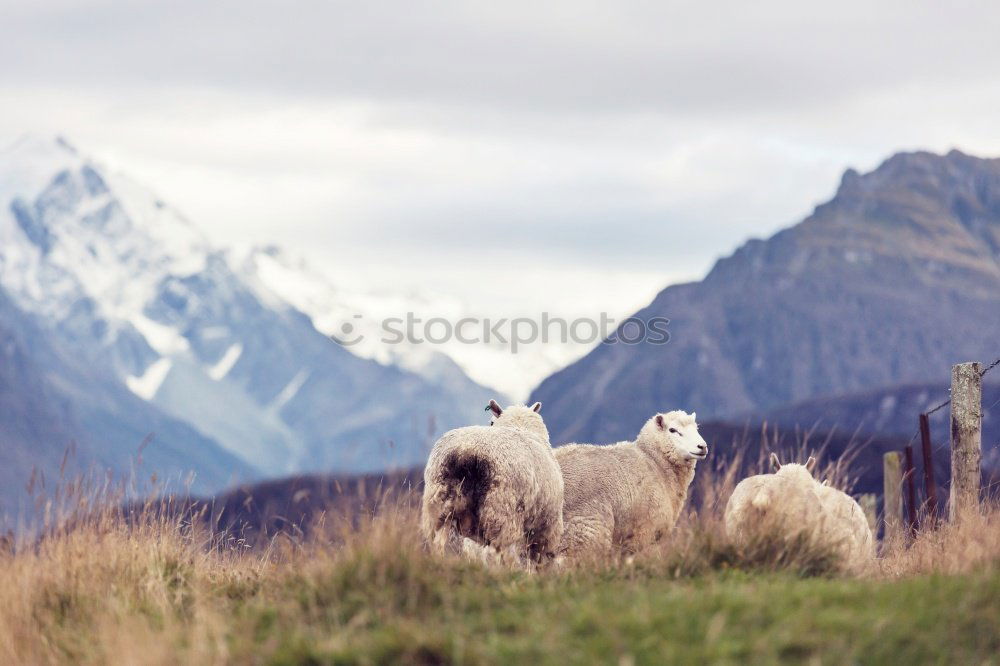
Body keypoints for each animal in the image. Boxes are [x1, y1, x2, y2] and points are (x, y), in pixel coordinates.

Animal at [420, 396, 568, 564]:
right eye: (491, 422)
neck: (520, 427)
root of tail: (467, 451)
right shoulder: (548, 527)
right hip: (501, 511)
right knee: (497, 553)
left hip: (439, 504)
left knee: (437, 544)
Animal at [552, 410, 708, 556]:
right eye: (672, 430)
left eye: (696, 428)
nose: (702, 446)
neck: (655, 462)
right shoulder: (645, 532)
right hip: (584, 529)